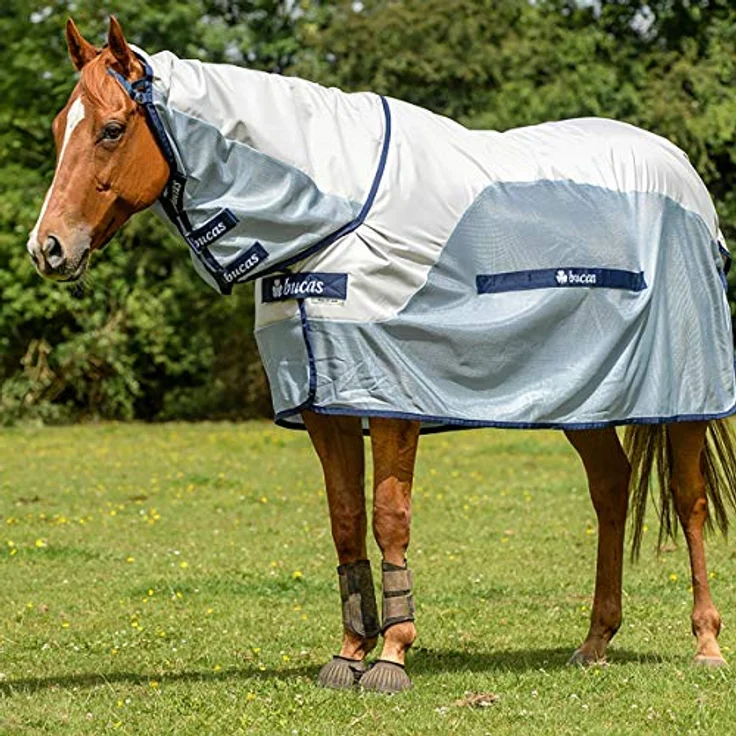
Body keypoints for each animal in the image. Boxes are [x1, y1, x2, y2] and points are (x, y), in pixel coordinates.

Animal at [27, 16, 736, 693]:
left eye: (112, 129)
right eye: (62, 127)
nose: (48, 247)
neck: (337, 222)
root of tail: (684, 178)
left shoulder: (393, 396)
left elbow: (389, 518)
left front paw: (393, 658)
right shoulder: (325, 406)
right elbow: (345, 520)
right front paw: (349, 655)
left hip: (686, 396)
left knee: (688, 498)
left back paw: (705, 644)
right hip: (582, 397)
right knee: (611, 489)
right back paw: (594, 642)